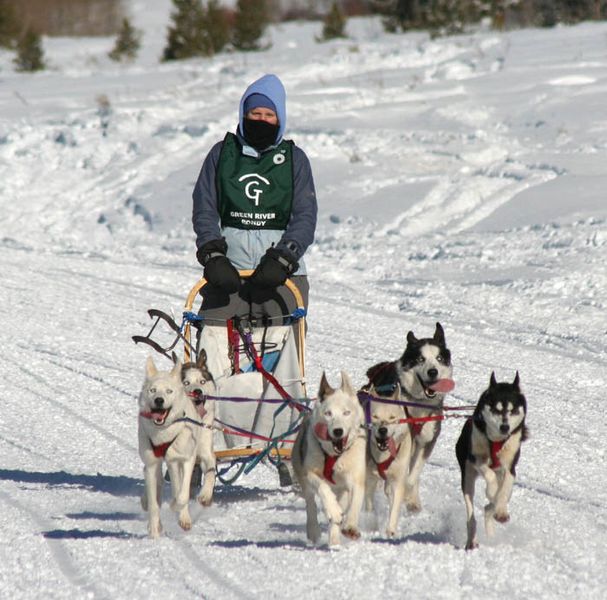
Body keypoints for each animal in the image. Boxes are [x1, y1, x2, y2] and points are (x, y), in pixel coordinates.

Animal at [138, 356, 204, 540]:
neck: (164, 432)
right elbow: (154, 504)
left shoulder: (187, 459)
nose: (159, 400)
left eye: (169, 391)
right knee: (157, 486)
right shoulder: (152, 464)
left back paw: (183, 516)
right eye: (152, 390)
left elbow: (182, 495)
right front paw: (154, 532)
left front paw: (177, 508)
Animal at [290, 372, 366, 548]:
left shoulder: (355, 478)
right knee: (310, 503)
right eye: (328, 413)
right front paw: (332, 509)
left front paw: (350, 526)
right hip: (302, 473)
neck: (334, 456)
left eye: (346, 413)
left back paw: (335, 539)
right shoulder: (311, 472)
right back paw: (315, 530)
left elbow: (356, 501)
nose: (338, 431)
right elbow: (323, 488)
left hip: (342, 490)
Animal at [364, 322, 454, 512]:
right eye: (420, 359)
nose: (433, 372)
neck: (418, 403)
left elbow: (412, 476)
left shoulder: (427, 441)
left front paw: (409, 497)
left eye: (439, 358)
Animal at [364, 386, 416, 536]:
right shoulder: (369, 480)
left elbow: (395, 507)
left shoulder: (398, 481)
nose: (383, 430)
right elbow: (369, 504)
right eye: (375, 416)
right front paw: (372, 524)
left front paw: (391, 530)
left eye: (392, 417)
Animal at [456, 372, 528, 552]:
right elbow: (489, 475)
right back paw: (472, 540)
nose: (505, 427)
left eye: (513, 410)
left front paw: (501, 511)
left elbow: (504, 490)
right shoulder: (476, 459)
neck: (496, 440)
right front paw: (492, 490)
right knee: (471, 515)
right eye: (496, 409)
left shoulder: (510, 468)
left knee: (489, 507)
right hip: (467, 478)